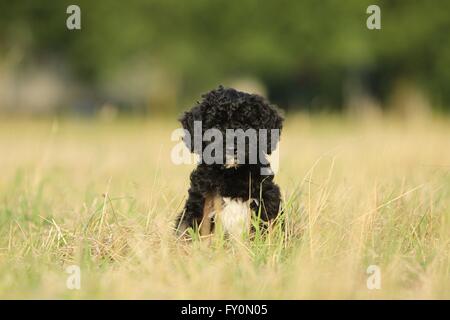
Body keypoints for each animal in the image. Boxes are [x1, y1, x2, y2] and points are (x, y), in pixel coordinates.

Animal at [175, 85, 284, 238]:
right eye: (215, 125)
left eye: (246, 125)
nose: (231, 148)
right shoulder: (198, 206)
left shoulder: (267, 201)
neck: (232, 174)